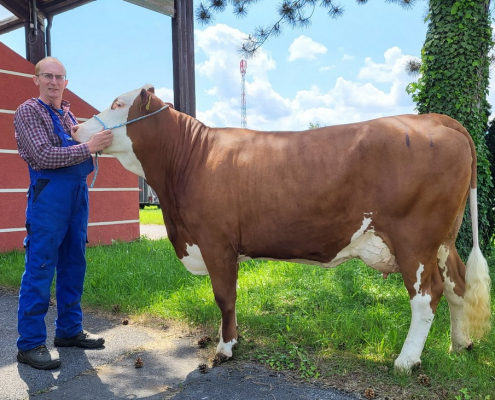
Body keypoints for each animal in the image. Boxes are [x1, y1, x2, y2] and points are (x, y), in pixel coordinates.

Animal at [72, 83, 492, 372]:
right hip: (443, 240)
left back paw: (406, 361)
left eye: (117, 104)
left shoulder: (215, 242)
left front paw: (226, 348)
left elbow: (225, 297)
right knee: (456, 285)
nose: (75, 128)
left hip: (414, 239)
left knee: (427, 296)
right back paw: (460, 345)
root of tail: (434, 119)